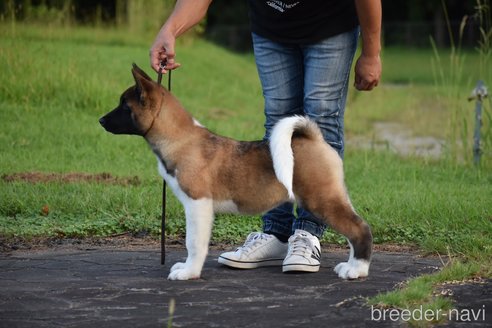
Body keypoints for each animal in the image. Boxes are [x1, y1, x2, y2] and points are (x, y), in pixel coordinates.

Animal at [100, 64, 372, 282]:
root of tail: (313, 138)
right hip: (332, 196)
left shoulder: (198, 205)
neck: (181, 139)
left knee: (359, 229)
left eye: (124, 105)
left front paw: (189, 272)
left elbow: (194, 243)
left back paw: (356, 270)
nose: (101, 121)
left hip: (321, 200)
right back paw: (351, 265)